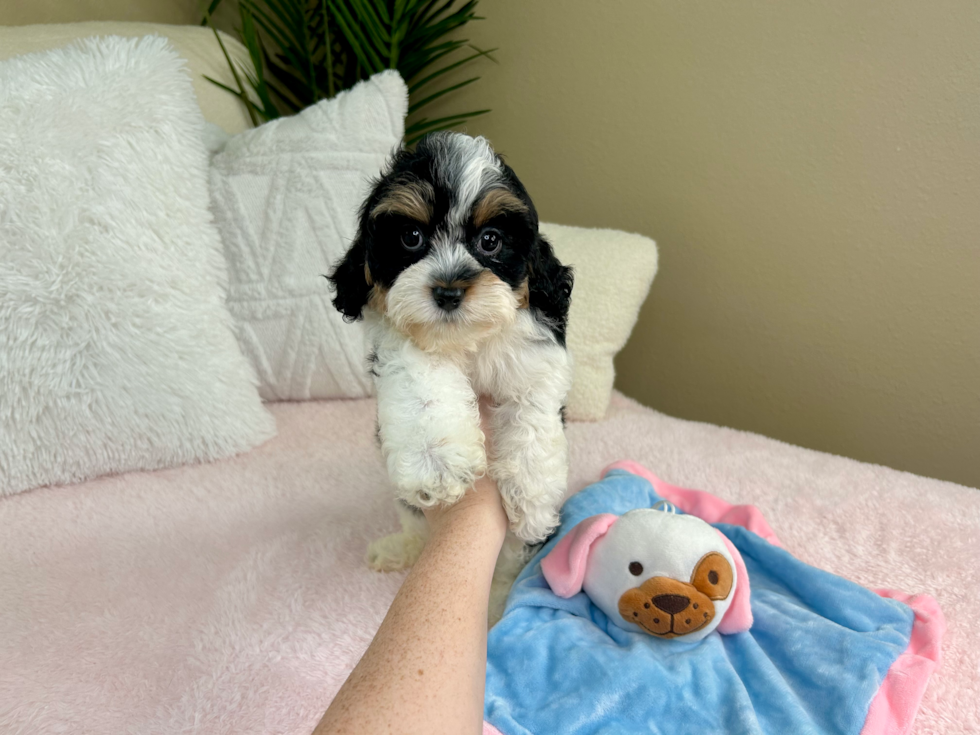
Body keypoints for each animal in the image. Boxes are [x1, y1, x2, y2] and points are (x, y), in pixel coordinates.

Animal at [330, 134, 576, 600]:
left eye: (491, 241)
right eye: (411, 237)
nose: (448, 290)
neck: (466, 342)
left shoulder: (536, 356)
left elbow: (533, 414)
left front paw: (533, 498)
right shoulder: (400, 344)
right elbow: (421, 388)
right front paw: (436, 464)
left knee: (506, 564)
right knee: (415, 524)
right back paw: (400, 549)